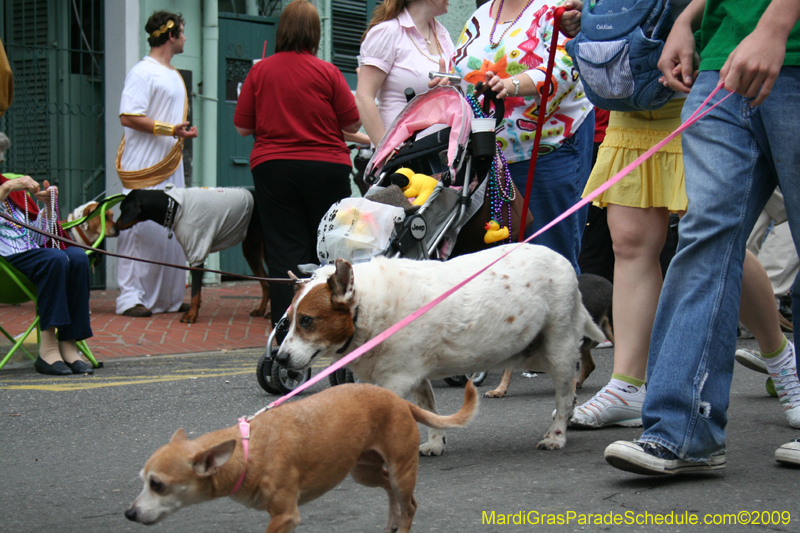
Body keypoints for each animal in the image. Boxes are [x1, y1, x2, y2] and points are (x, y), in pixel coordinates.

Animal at [124, 380, 476, 528]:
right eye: (142, 480)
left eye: (157, 485)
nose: (129, 513)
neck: (247, 452)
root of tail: (399, 400)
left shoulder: (284, 516)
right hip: (364, 471)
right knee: (390, 492)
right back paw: (391, 521)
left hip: (402, 472)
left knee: (409, 505)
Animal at [274, 242, 600, 454]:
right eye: (288, 320)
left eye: (307, 320)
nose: (279, 358)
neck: (367, 308)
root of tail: (563, 260)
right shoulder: (415, 377)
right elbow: (429, 412)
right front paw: (435, 442)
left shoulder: (396, 380)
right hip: (535, 353)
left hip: (558, 349)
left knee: (565, 397)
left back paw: (557, 435)